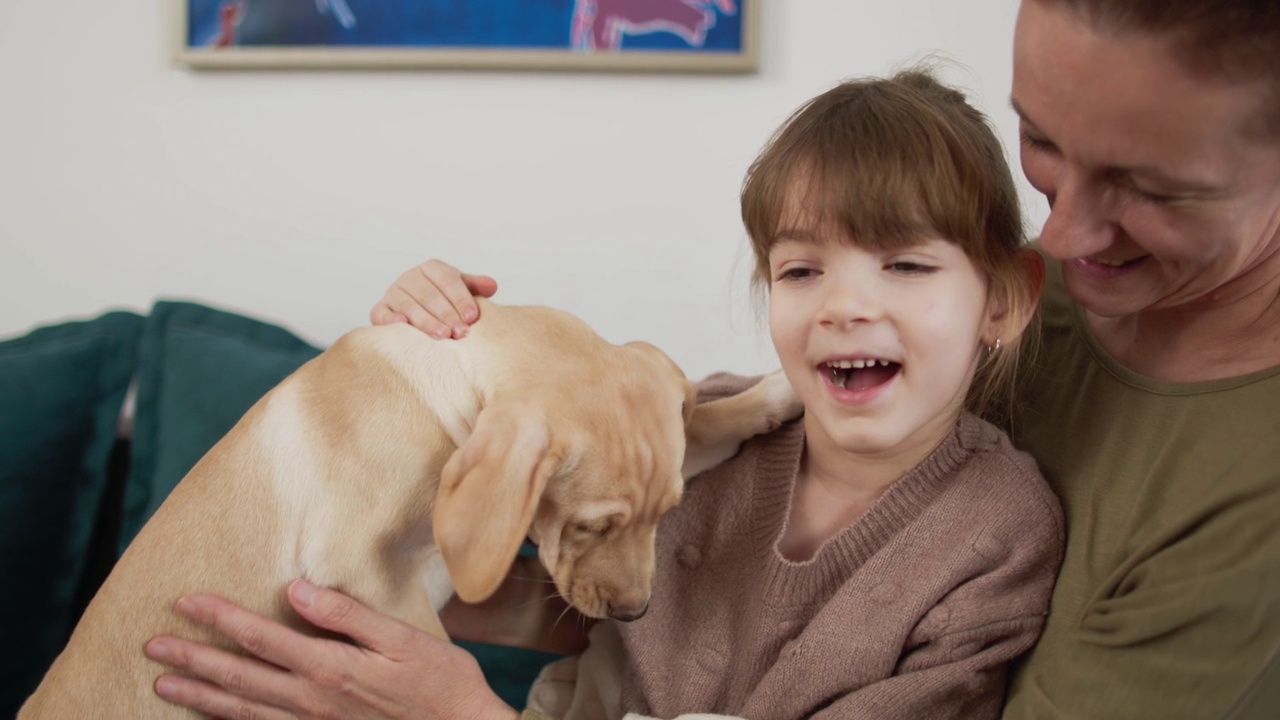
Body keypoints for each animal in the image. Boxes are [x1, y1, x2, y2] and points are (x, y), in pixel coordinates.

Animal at [17, 298, 798, 717]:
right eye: (587, 525)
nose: (636, 615)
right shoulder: (361, 569)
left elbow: (707, 427)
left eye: (666, 514)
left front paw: (775, 393)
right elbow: (442, 652)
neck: (449, 383)